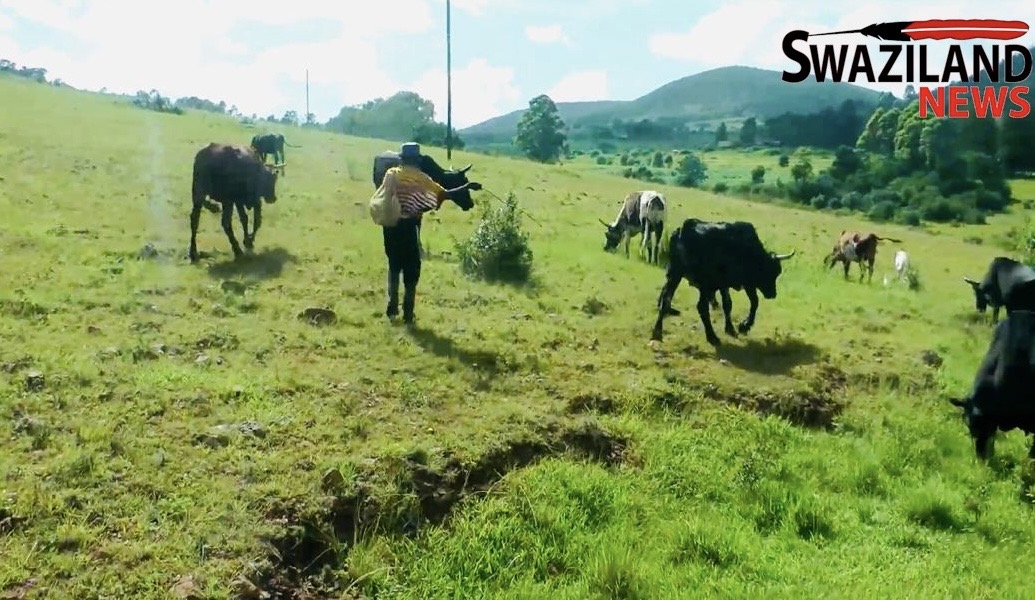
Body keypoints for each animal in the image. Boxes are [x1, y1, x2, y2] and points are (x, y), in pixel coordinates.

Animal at [649, 218, 796, 347]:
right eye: (771, 272)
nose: (772, 294)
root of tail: (684, 230)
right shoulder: (746, 284)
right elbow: (754, 302)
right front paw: (744, 325)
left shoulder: (724, 285)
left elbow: (728, 304)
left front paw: (730, 328)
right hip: (703, 284)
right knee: (701, 307)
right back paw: (712, 337)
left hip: (675, 274)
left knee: (665, 299)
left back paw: (657, 332)